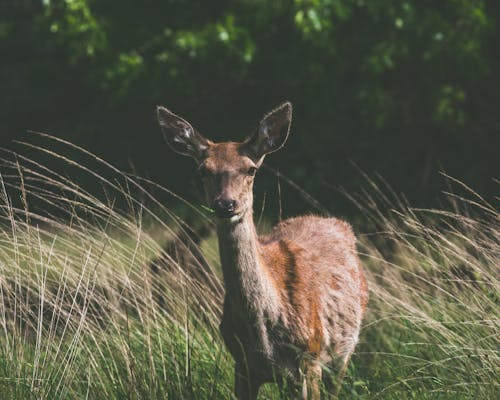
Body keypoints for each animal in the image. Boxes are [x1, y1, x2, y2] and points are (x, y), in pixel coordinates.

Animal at [156, 103, 368, 400]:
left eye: (250, 170)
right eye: (203, 171)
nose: (225, 204)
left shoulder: (310, 358)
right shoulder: (242, 366)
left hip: (342, 353)